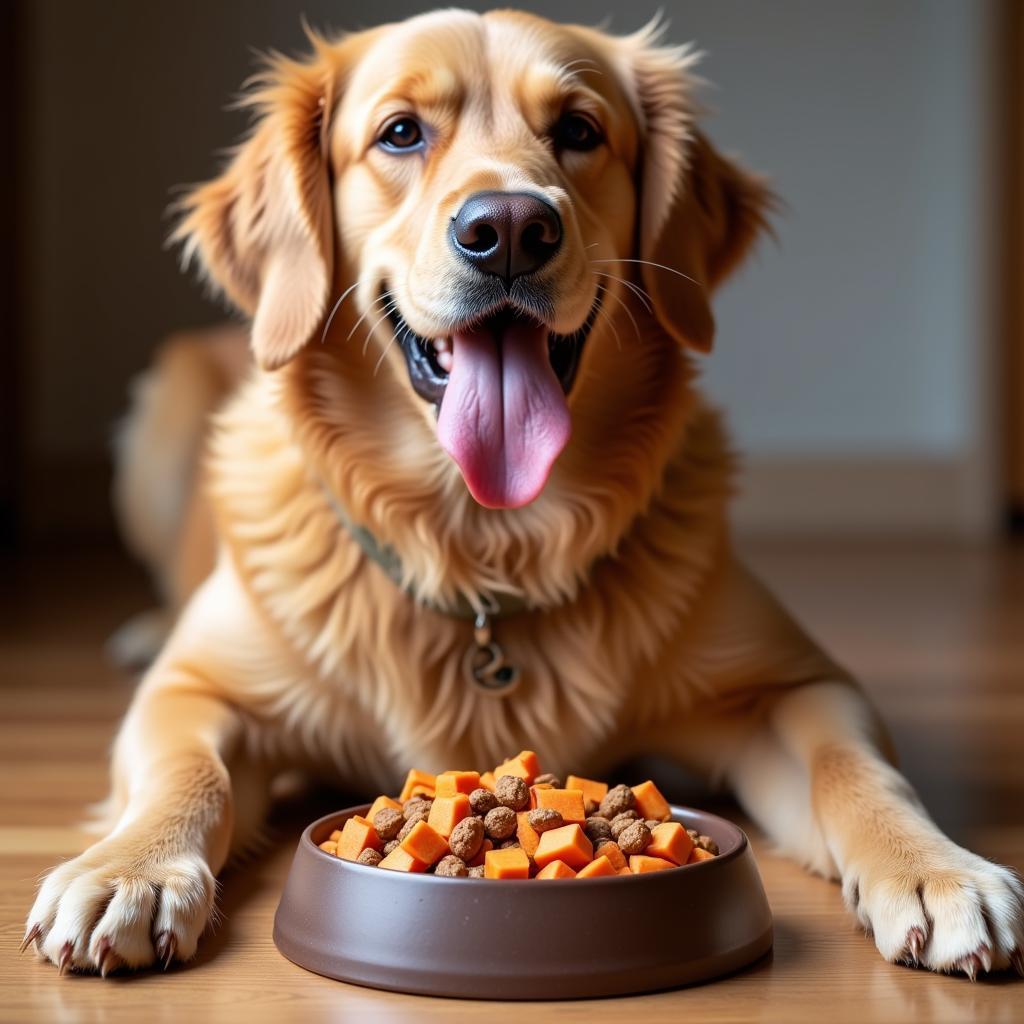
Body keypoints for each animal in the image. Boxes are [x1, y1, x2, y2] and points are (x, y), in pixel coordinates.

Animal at [25, 12, 1024, 978]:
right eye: (400, 133)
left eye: (579, 131)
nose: (508, 227)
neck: (485, 547)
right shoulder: (196, 691)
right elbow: (186, 772)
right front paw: (131, 871)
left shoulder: (791, 687)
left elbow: (856, 769)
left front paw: (937, 870)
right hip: (154, 422)